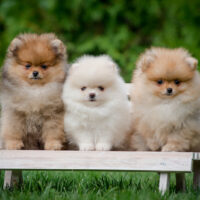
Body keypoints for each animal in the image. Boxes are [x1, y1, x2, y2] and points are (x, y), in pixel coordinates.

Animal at [1, 32, 200, 153]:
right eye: (27, 66)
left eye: (43, 66)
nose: (91, 95)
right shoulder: (18, 114)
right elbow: (14, 130)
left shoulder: (107, 125)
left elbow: (103, 138)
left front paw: (101, 147)